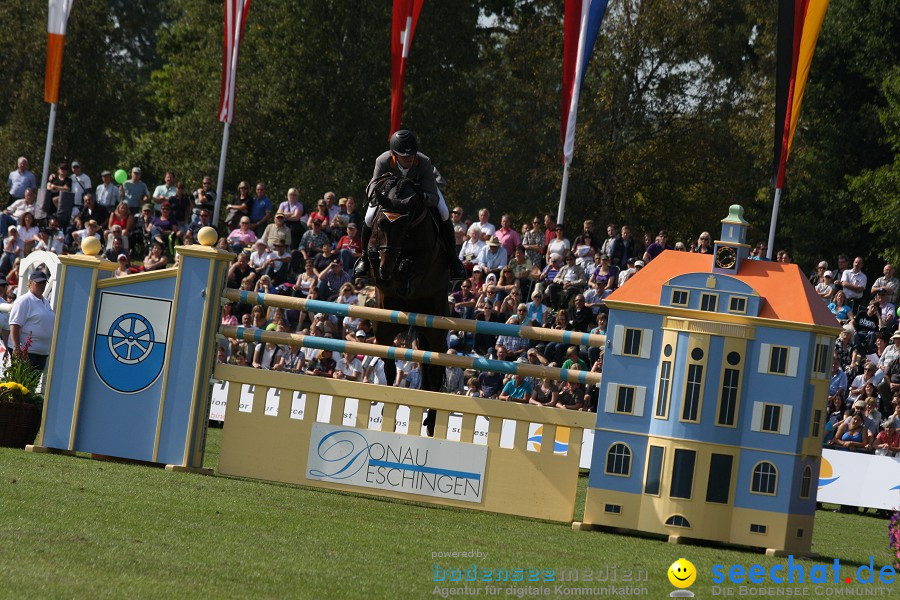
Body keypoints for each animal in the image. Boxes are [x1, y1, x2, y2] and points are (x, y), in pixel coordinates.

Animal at [364, 173, 448, 436]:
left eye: (405, 227)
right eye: (381, 223)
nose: (386, 269)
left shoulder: (426, 256)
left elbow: (411, 264)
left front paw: (402, 276)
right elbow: (372, 254)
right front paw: (385, 273)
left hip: (435, 331)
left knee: (435, 370)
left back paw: (431, 421)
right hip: (384, 329)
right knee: (390, 366)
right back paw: (388, 410)